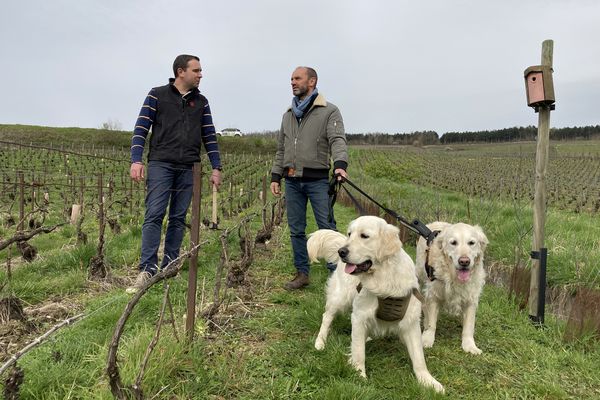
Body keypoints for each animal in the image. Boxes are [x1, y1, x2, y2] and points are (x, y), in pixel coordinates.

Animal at [310, 216, 446, 394]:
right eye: (350, 234)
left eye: (364, 236)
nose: (341, 252)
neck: (384, 278)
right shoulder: (359, 317)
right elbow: (359, 352)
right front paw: (359, 376)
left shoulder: (411, 323)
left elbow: (418, 357)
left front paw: (428, 381)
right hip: (341, 297)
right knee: (327, 317)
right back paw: (320, 342)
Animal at [414, 222, 490, 356]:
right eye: (453, 242)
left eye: (471, 243)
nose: (464, 261)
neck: (454, 276)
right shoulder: (433, 294)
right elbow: (431, 323)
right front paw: (427, 339)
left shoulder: (471, 298)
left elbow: (469, 325)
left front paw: (470, 345)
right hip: (419, 274)